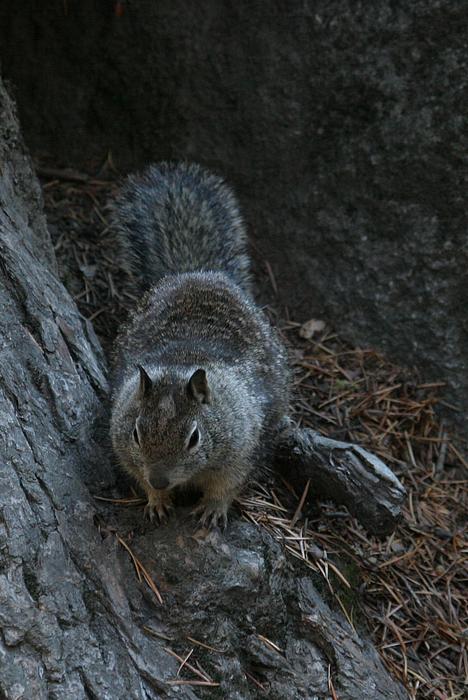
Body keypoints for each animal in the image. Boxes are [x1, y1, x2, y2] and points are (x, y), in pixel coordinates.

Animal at [109, 163, 288, 524]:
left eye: (194, 438)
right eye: (136, 433)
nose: (159, 479)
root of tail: (201, 272)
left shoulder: (243, 447)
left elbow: (228, 484)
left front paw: (213, 508)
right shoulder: (124, 446)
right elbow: (136, 472)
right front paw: (156, 499)